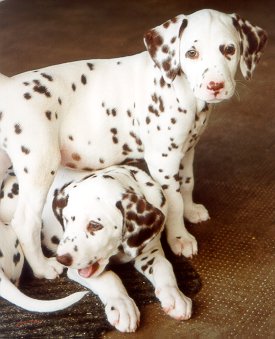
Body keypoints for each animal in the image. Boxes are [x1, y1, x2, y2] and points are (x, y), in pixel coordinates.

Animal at [0, 9, 268, 280]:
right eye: (192, 53)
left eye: (229, 49)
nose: (215, 86)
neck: (180, 90)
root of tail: (9, 86)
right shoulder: (163, 160)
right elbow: (174, 202)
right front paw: (179, 238)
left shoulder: (187, 150)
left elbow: (187, 183)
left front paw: (191, 210)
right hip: (40, 166)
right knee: (26, 223)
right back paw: (43, 268)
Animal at [0, 163, 192, 334]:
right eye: (67, 219)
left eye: (95, 225)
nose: (62, 259)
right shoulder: (78, 270)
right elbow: (110, 277)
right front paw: (122, 305)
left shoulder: (150, 252)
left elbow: (164, 266)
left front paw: (175, 295)